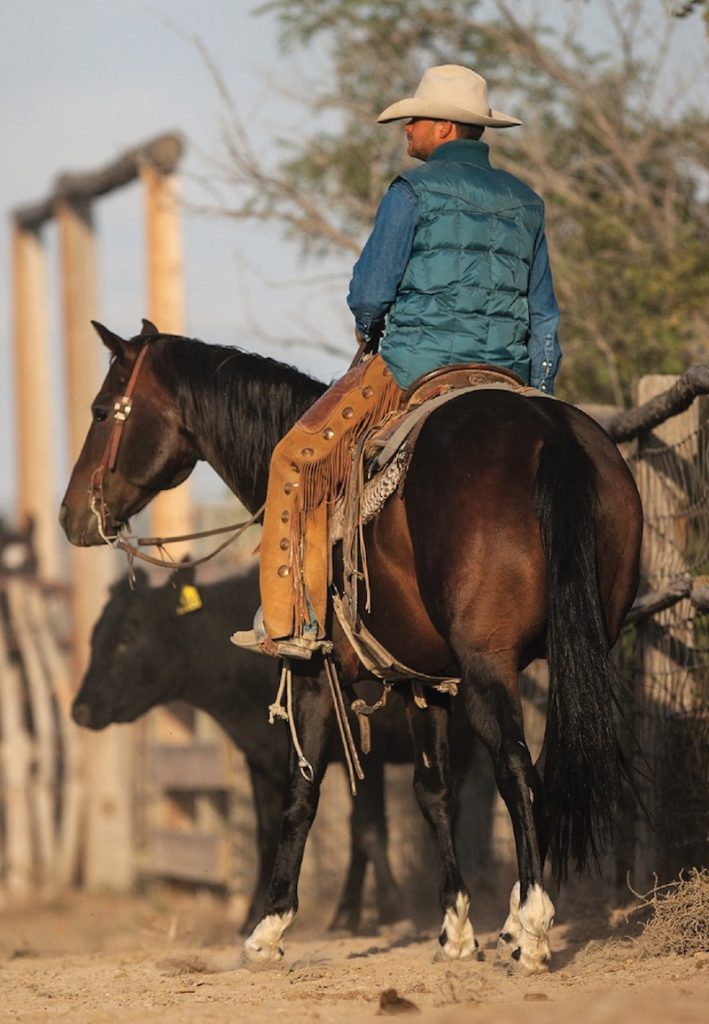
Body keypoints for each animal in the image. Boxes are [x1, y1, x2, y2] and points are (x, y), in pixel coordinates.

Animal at [73, 562, 434, 935]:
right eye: (94, 635)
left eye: (128, 638)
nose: (80, 709)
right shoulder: (263, 758)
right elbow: (269, 832)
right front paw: (256, 918)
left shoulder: (367, 751)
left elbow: (368, 829)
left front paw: (394, 914)